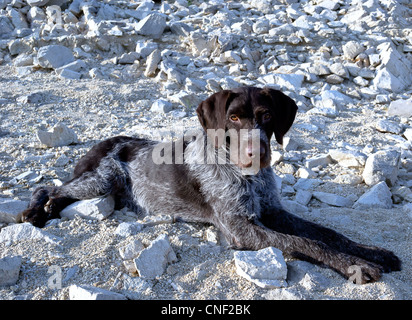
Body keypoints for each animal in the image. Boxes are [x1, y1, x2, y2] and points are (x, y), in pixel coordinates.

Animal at [18, 86, 400, 284]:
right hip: (101, 178)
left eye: (266, 116)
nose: (258, 152)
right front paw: (355, 266)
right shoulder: (240, 229)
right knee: (48, 188)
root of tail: (101, 143)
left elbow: (328, 234)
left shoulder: (273, 212)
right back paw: (37, 211)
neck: (249, 178)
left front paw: (373, 252)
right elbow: (305, 243)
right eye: (233, 118)